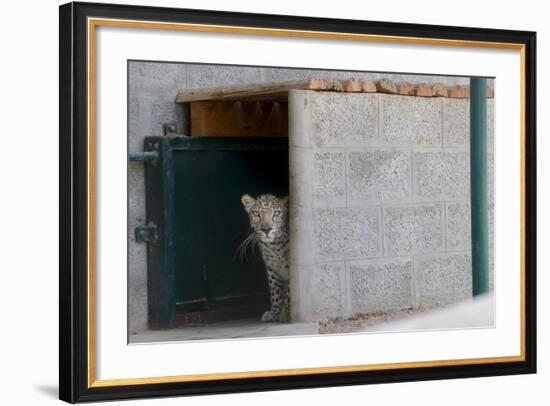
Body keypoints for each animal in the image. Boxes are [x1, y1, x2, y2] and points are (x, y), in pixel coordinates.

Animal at [243, 193, 294, 324]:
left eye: (276, 213)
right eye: (257, 213)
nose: (266, 229)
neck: (274, 246)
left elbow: (289, 291)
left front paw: (285, 312)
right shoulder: (272, 269)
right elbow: (275, 290)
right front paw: (274, 312)